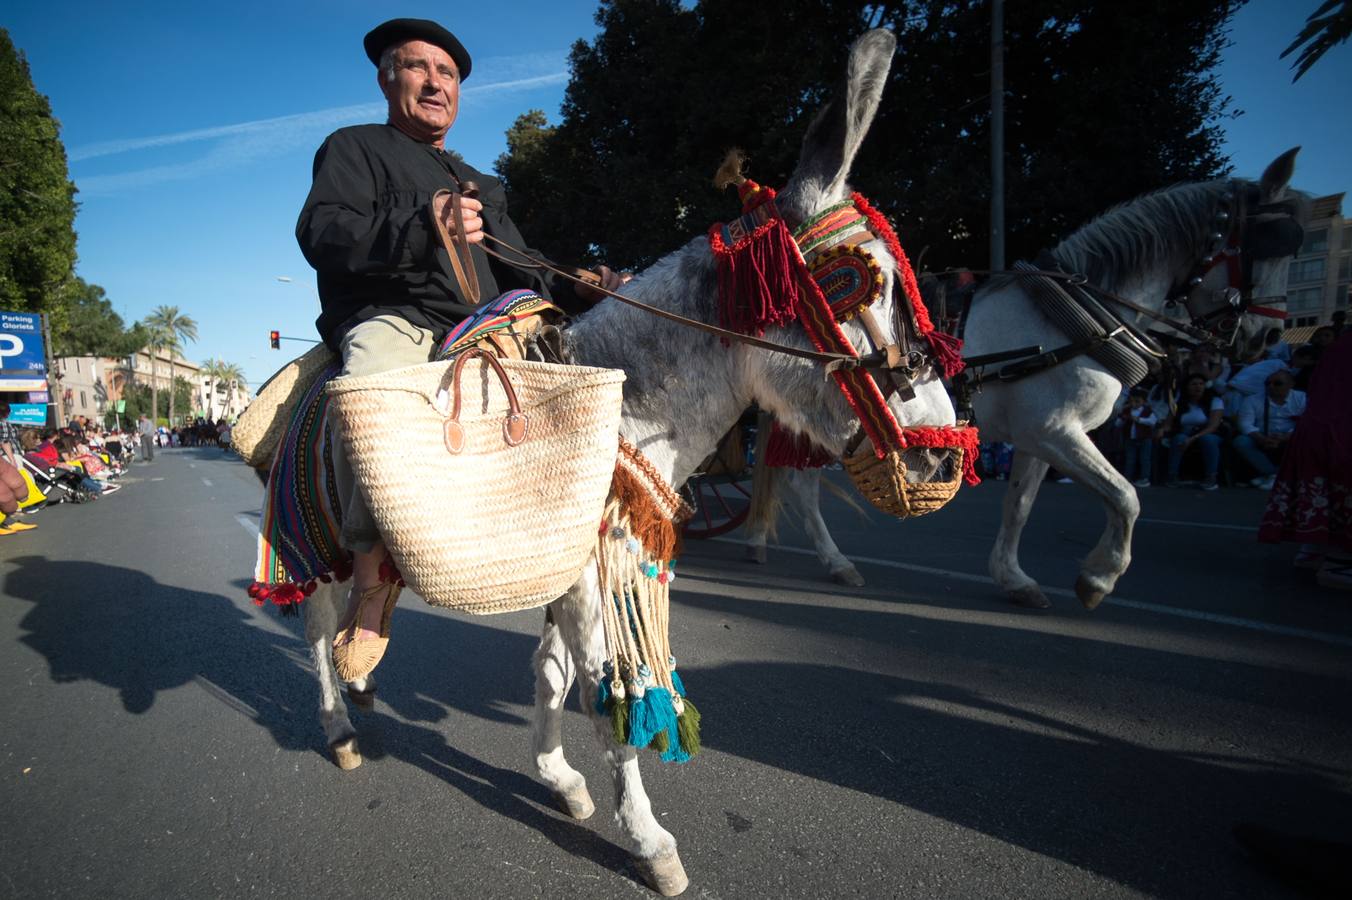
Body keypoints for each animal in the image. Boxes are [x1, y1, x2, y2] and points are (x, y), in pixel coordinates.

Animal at [297, 28, 951, 891]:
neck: (622, 408)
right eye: (858, 284)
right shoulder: (583, 575)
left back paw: (364, 676)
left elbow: (553, 674)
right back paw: (338, 722)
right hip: (319, 542)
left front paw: (560, 781)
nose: (946, 460)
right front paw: (649, 842)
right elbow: (604, 696)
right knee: (315, 621)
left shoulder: (573, 570)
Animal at [751, 152, 1308, 602]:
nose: (1265, 337)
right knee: (799, 484)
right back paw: (832, 559)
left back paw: (775, 542)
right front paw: (1100, 577)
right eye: (1265, 245)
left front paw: (1013, 577)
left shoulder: (1041, 437)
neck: (1075, 318)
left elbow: (1019, 504)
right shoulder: (1057, 431)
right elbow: (1126, 496)